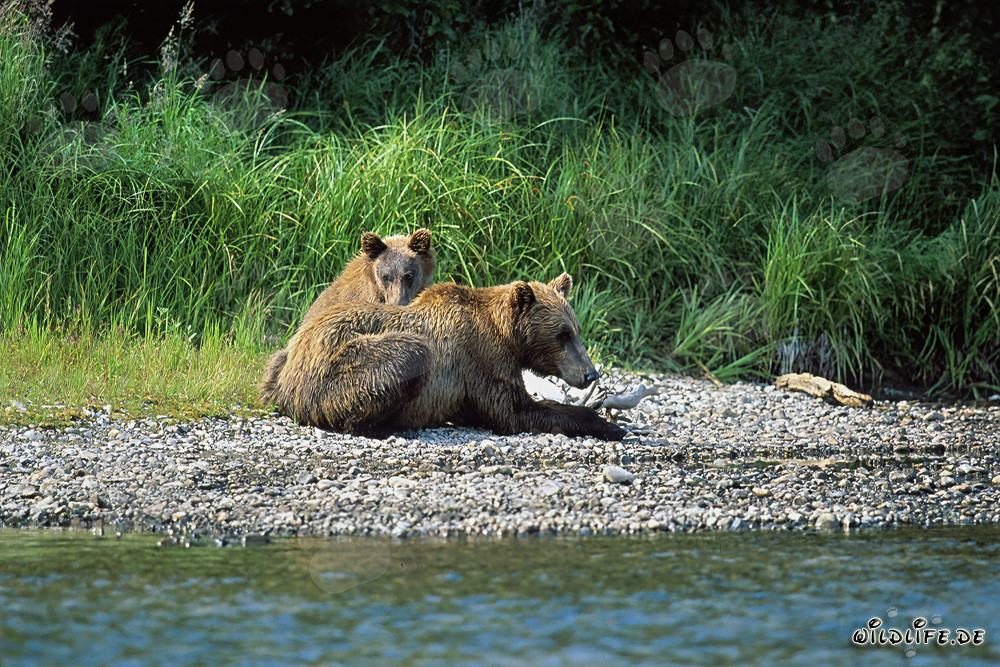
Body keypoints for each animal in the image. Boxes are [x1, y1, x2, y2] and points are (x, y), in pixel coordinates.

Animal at [268, 272, 626, 441]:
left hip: (282, 361)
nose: (590, 374)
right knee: (409, 353)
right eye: (562, 334)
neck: (505, 334)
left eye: (576, 329)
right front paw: (607, 424)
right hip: (339, 360)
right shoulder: (479, 358)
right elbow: (514, 411)